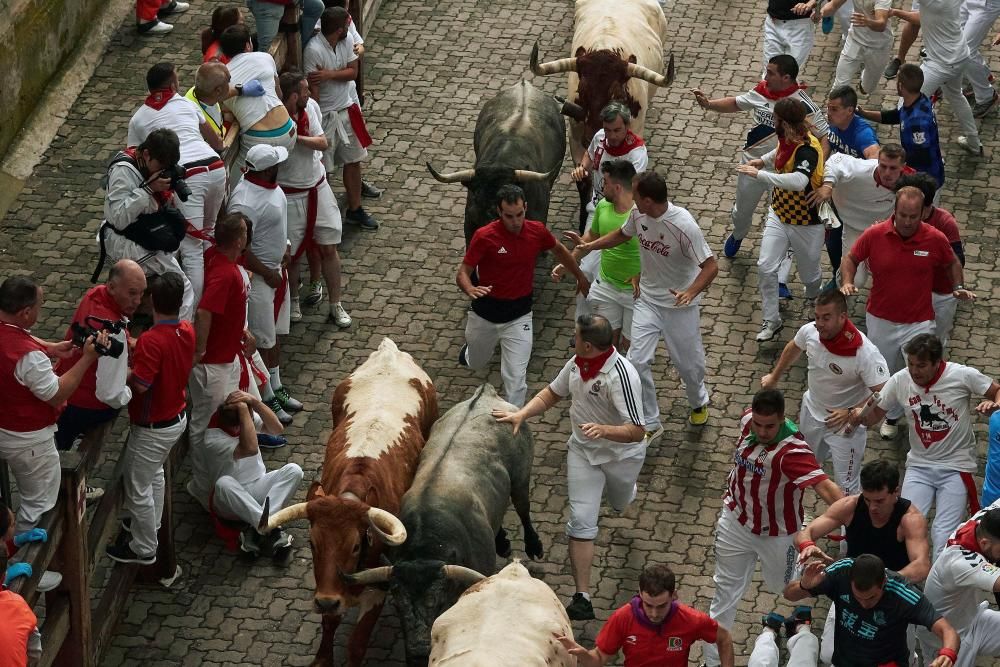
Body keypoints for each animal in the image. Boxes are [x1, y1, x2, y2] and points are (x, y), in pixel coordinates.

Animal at [344, 384, 548, 664]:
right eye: (396, 602)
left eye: (437, 600)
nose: (419, 652)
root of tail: (485, 393)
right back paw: (503, 542)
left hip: (521, 478)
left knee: (523, 509)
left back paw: (533, 545)